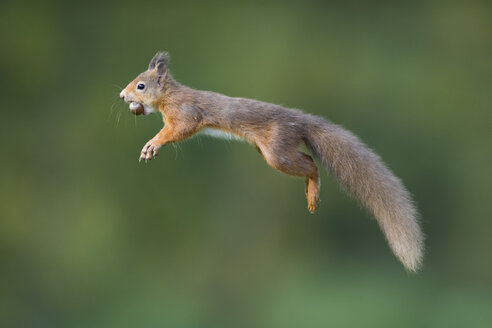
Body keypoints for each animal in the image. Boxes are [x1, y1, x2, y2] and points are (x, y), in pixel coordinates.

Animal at [119, 52, 422, 272]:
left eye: (141, 85)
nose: (122, 96)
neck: (170, 96)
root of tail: (301, 122)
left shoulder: (185, 114)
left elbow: (177, 130)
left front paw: (153, 144)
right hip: (269, 150)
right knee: (307, 158)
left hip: (277, 153)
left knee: (311, 164)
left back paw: (313, 191)